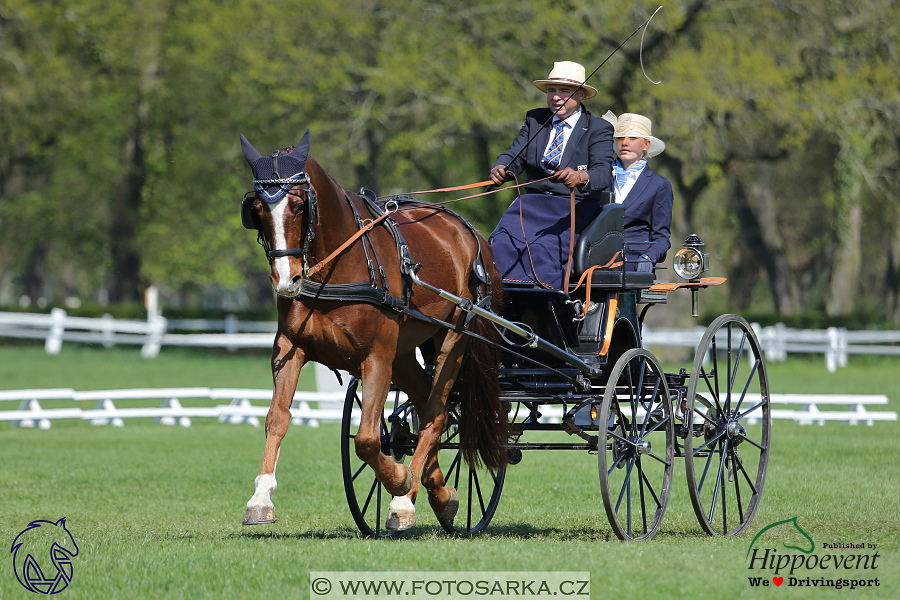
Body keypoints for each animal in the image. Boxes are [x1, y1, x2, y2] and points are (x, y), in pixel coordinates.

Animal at [237, 130, 506, 528]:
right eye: (256, 210)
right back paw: (438, 491)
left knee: (436, 412)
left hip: (454, 337)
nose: (287, 280)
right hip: (404, 353)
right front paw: (260, 496)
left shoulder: (375, 357)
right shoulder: (289, 347)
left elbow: (365, 439)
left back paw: (406, 499)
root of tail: (468, 229)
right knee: (427, 406)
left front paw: (399, 482)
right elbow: (277, 417)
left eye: (299, 205)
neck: (336, 268)